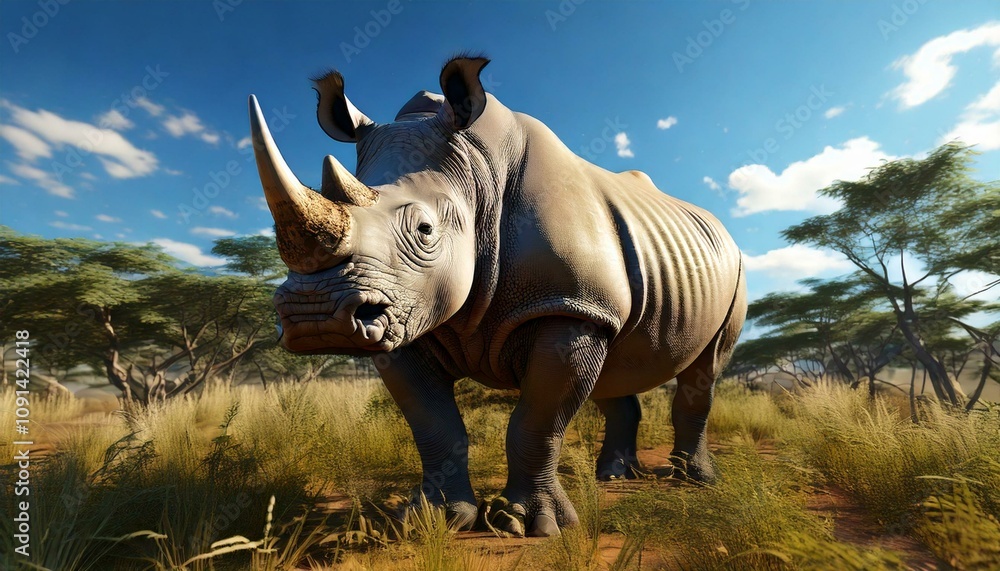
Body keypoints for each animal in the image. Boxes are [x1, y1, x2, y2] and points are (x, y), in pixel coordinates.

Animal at [248, 56, 746, 537]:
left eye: (425, 230)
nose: (316, 315)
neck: (475, 176)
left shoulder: (566, 304)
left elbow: (536, 422)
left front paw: (527, 524)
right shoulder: (408, 318)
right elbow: (433, 424)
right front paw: (435, 519)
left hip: (733, 267)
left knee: (705, 368)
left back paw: (695, 480)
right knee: (616, 370)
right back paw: (614, 476)